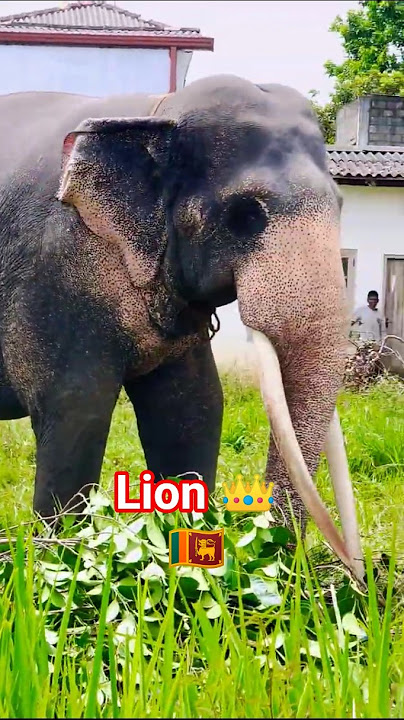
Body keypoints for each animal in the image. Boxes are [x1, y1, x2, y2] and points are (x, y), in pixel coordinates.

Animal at [0, 74, 364, 584]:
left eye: (341, 204)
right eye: (246, 215)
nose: (282, 568)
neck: (159, 111)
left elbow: (192, 408)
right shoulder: (54, 270)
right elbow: (76, 408)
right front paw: (62, 565)